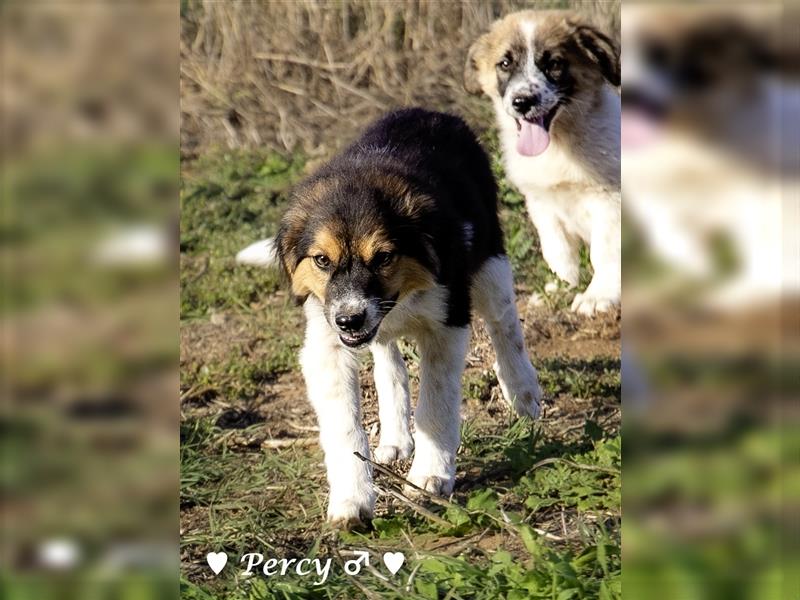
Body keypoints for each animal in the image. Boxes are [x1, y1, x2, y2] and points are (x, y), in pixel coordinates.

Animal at [276, 109, 544, 528]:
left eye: (384, 257)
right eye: (321, 260)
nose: (350, 320)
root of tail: (430, 112)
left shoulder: (447, 322)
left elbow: (435, 405)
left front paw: (430, 475)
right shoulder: (326, 342)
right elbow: (344, 427)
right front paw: (351, 499)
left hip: (490, 263)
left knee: (505, 326)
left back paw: (523, 393)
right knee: (389, 364)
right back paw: (396, 438)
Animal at [466, 11, 620, 316]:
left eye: (555, 64)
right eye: (504, 63)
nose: (522, 102)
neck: (559, 145)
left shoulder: (609, 200)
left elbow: (603, 252)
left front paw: (599, 295)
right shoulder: (541, 202)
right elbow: (557, 250)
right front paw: (562, 287)